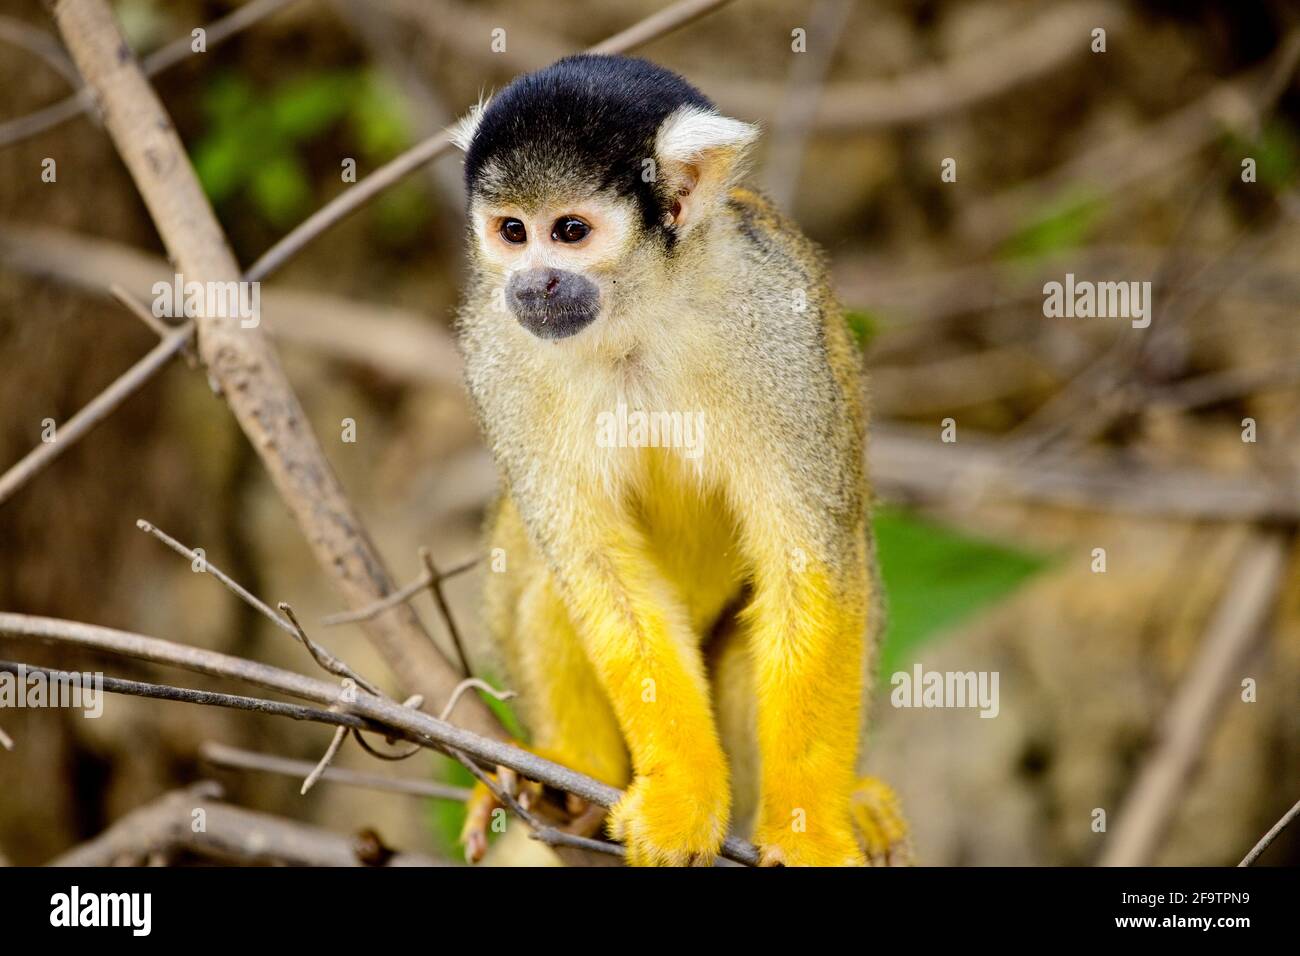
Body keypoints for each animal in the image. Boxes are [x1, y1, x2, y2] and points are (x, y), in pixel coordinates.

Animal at [450, 54, 907, 867]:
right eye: (512, 231)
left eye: (569, 231)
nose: (531, 283)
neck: (635, 314)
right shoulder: (494, 342)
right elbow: (598, 567)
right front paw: (682, 796)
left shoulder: (773, 318)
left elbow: (807, 560)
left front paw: (810, 828)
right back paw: (573, 773)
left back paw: (843, 798)